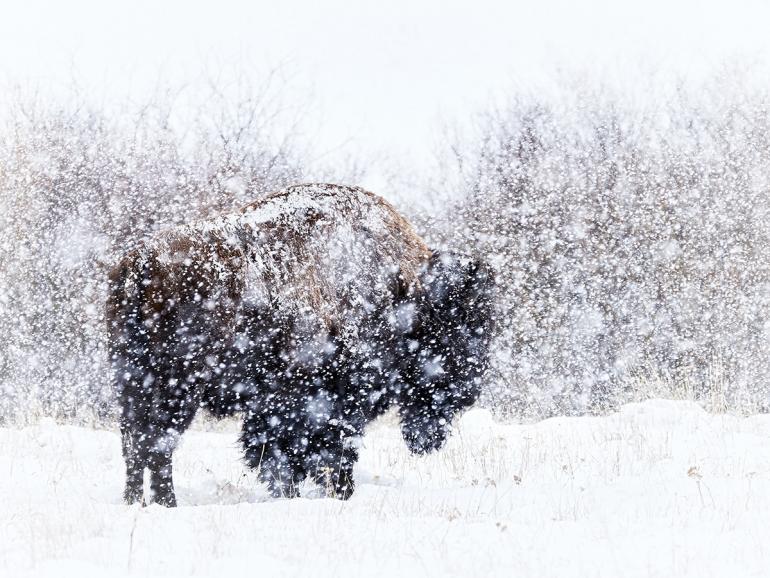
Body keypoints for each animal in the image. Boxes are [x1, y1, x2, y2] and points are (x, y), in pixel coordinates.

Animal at [106, 184, 492, 504]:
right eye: (464, 326)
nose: (469, 391)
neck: (405, 290)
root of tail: (140, 263)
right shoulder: (330, 402)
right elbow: (324, 454)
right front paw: (334, 493)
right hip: (177, 389)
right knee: (156, 445)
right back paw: (167, 503)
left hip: (133, 383)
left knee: (134, 445)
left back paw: (135, 502)